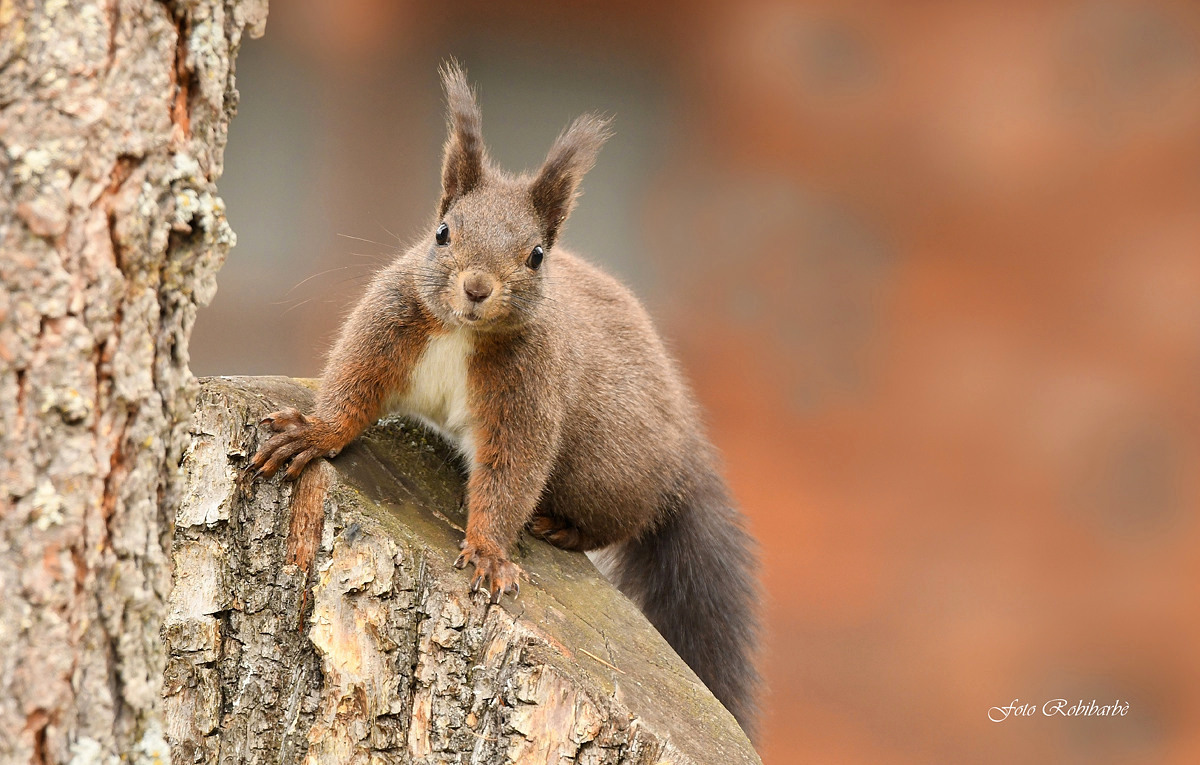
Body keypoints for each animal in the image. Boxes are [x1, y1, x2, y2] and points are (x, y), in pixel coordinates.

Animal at [251, 63, 761, 735]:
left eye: (536, 255)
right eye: (442, 233)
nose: (476, 287)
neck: (464, 333)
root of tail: (684, 450)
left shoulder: (529, 393)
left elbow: (511, 473)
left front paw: (490, 551)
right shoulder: (387, 328)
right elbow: (353, 389)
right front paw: (313, 434)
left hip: (608, 473)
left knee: (621, 518)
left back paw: (562, 526)